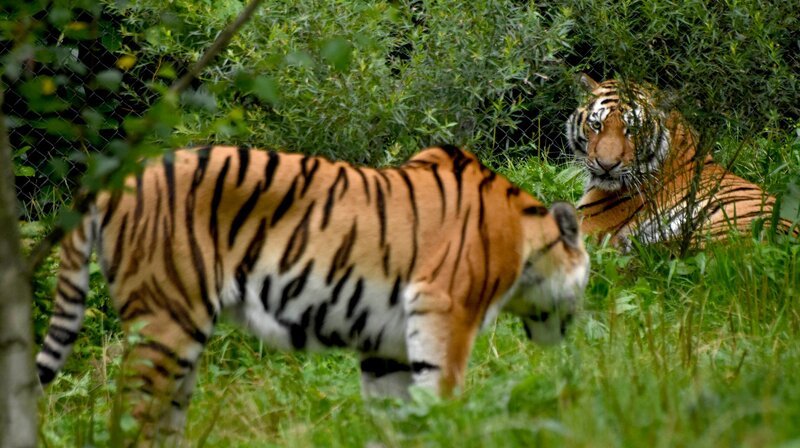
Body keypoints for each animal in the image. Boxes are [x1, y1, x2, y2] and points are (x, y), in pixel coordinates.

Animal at [35, 144, 589, 442]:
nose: (572, 330)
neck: (523, 238)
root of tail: (114, 182)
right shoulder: (443, 310)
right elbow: (440, 398)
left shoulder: (386, 348)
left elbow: (395, 420)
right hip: (165, 321)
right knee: (129, 419)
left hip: (178, 342)